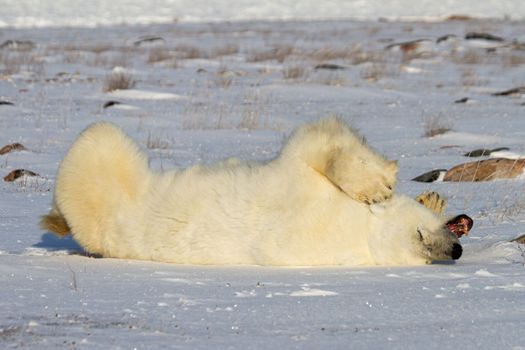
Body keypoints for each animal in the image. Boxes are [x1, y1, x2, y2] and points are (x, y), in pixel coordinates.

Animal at [39, 117, 468, 266]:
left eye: (427, 257)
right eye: (420, 235)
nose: (455, 250)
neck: (357, 234)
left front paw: (431, 196)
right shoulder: (300, 190)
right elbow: (315, 142)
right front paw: (380, 186)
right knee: (99, 137)